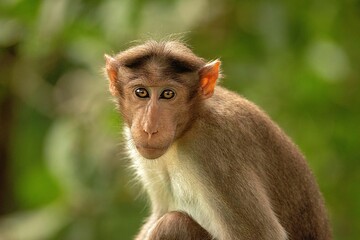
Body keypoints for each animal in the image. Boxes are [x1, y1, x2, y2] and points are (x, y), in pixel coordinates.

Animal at [104, 40, 332, 239]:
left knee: (173, 224)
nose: (149, 128)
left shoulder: (213, 151)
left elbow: (262, 235)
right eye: (141, 92)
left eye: (168, 94)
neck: (187, 128)